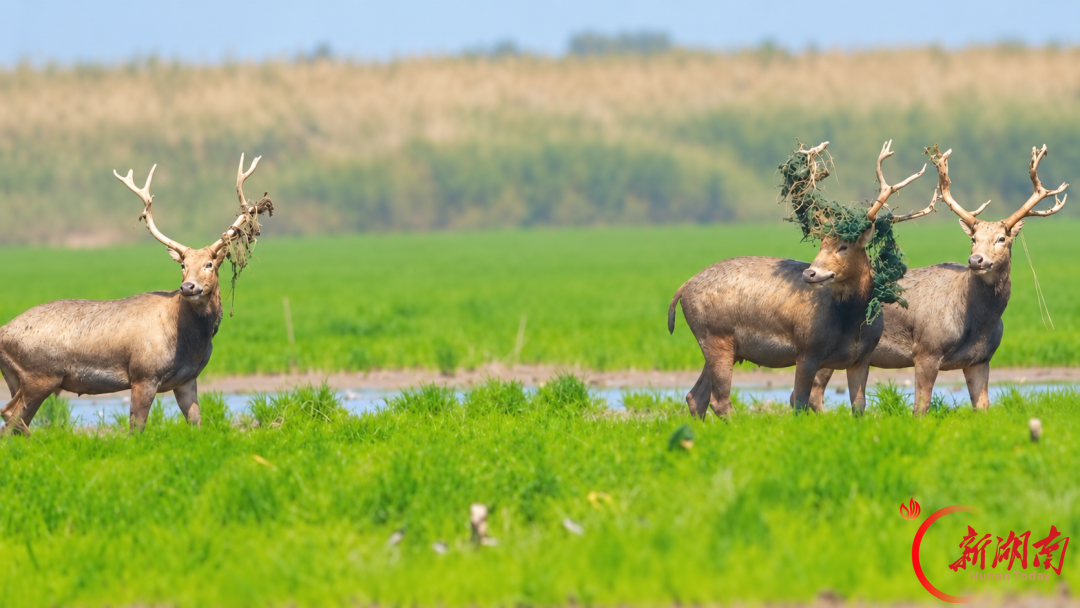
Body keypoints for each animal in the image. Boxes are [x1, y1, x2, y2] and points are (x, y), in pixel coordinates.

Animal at [0, 155, 274, 434]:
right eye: (183, 265)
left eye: (209, 264)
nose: (188, 287)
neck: (189, 341)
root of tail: (3, 332)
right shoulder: (143, 374)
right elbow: (137, 427)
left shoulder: (187, 379)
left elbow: (196, 422)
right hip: (40, 374)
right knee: (11, 414)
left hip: (18, 377)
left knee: (12, 416)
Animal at [668, 141, 932, 417]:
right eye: (822, 243)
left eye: (844, 246)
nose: (810, 273)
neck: (851, 322)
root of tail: (682, 290)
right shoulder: (807, 350)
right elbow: (799, 401)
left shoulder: (862, 357)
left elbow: (859, 407)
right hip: (715, 336)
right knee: (719, 400)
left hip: (724, 346)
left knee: (696, 396)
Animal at [809, 145, 1068, 415]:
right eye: (973, 238)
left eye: (1002, 239)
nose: (976, 260)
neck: (978, 322)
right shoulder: (926, 349)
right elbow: (920, 409)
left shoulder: (981, 360)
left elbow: (983, 408)